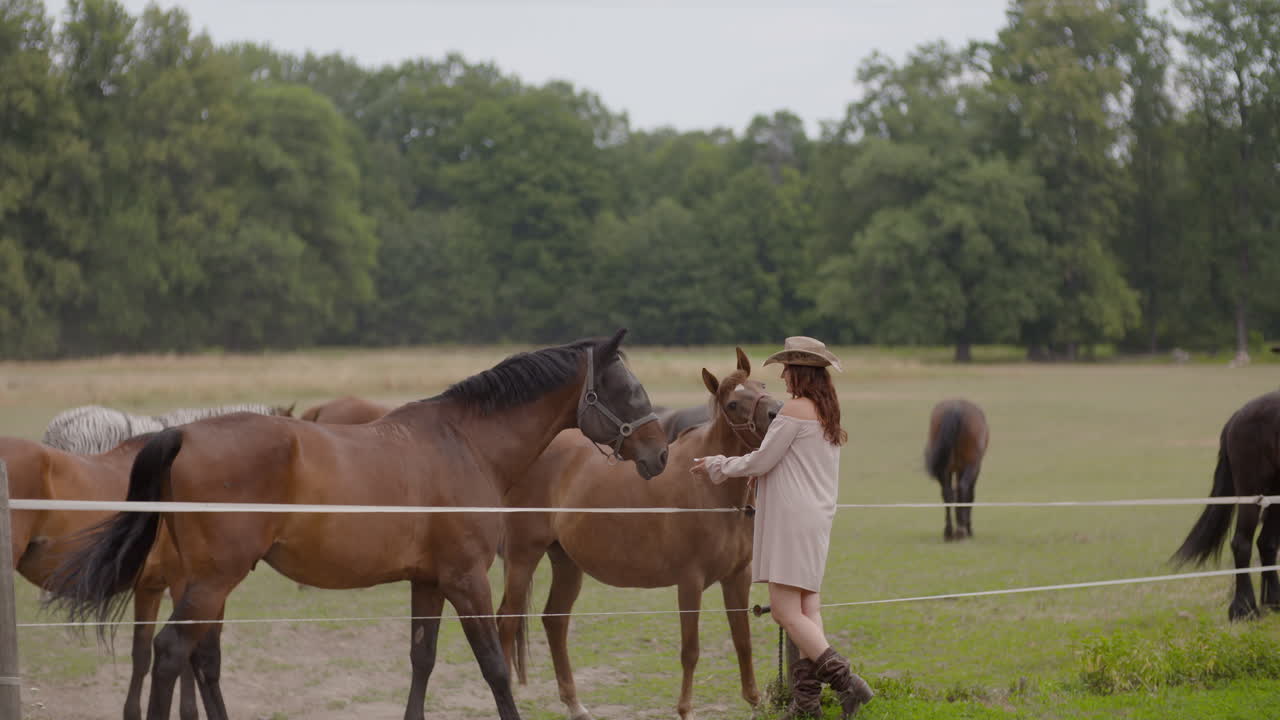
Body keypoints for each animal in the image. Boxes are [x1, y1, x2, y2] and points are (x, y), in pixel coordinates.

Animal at [44, 330, 668, 720]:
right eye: (628, 389)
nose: (660, 454)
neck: (465, 442)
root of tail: (181, 434)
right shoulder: (466, 578)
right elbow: (492, 665)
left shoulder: (428, 581)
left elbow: (422, 658)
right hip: (212, 582)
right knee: (173, 654)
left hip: (202, 584)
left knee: (201, 660)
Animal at [496, 347, 781, 720]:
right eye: (733, 404)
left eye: (762, 385)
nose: (778, 412)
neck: (711, 489)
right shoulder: (690, 581)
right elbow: (690, 650)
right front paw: (685, 710)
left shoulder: (737, 576)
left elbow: (743, 641)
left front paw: (754, 701)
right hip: (522, 556)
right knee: (505, 622)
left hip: (567, 563)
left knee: (555, 622)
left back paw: (576, 705)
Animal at [924, 399, 990, 541]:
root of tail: (956, 408)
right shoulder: (974, 468)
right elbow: (970, 495)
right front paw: (968, 528)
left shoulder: (956, 469)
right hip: (971, 465)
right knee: (963, 488)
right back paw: (961, 531)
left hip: (945, 468)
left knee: (947, 492)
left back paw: (949, 532)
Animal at [1173, 390, 1280, 620]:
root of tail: (1238, 415)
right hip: (1252, 490)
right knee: (1242, 543)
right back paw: (1244, 609)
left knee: (1267, 543)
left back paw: (1274, 603)